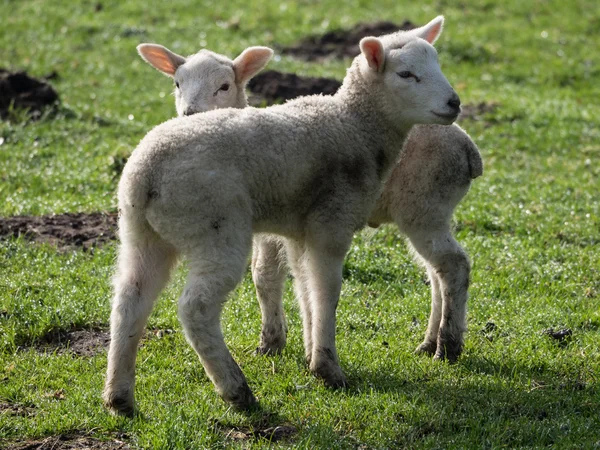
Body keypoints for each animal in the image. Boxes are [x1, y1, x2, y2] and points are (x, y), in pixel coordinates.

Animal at [103, 15, 460, 414]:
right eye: (406, 74)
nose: (454, 102)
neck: (355, 125)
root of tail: (146, 173)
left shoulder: (300, 230)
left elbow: (306, 290)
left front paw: (309, 353)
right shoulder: (331, 223)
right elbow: (326, 292)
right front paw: (327, 368)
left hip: (141, 233)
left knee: (129, 301)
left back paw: (120, 396)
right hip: (216, 228)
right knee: (196, 309)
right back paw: (236, 390)